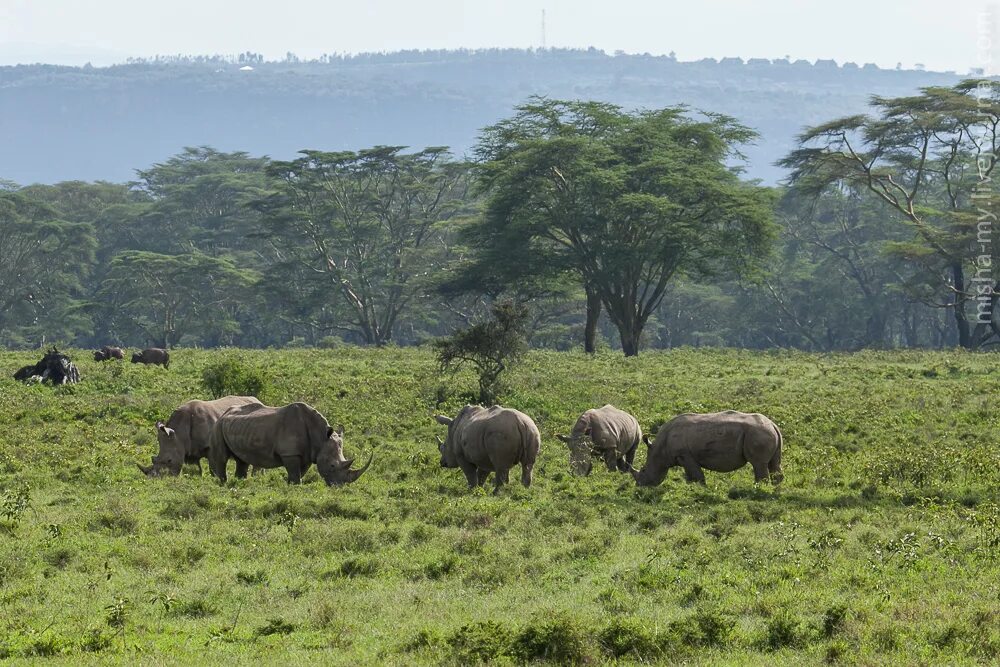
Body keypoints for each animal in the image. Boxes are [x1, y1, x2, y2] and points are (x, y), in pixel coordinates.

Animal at [632, 410, 780, 488]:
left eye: (643, 470)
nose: (639, 486)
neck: (660, 449)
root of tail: (773, 424)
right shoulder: (684, 456)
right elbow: (690, 476)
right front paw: (690, 488)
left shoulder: (685, 455)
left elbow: (697, 475)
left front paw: (701, 489)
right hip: (766, 432)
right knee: (774, 463)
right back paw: (774, 489)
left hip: (758, 433)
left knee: (758, 464)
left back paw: (757, 489)